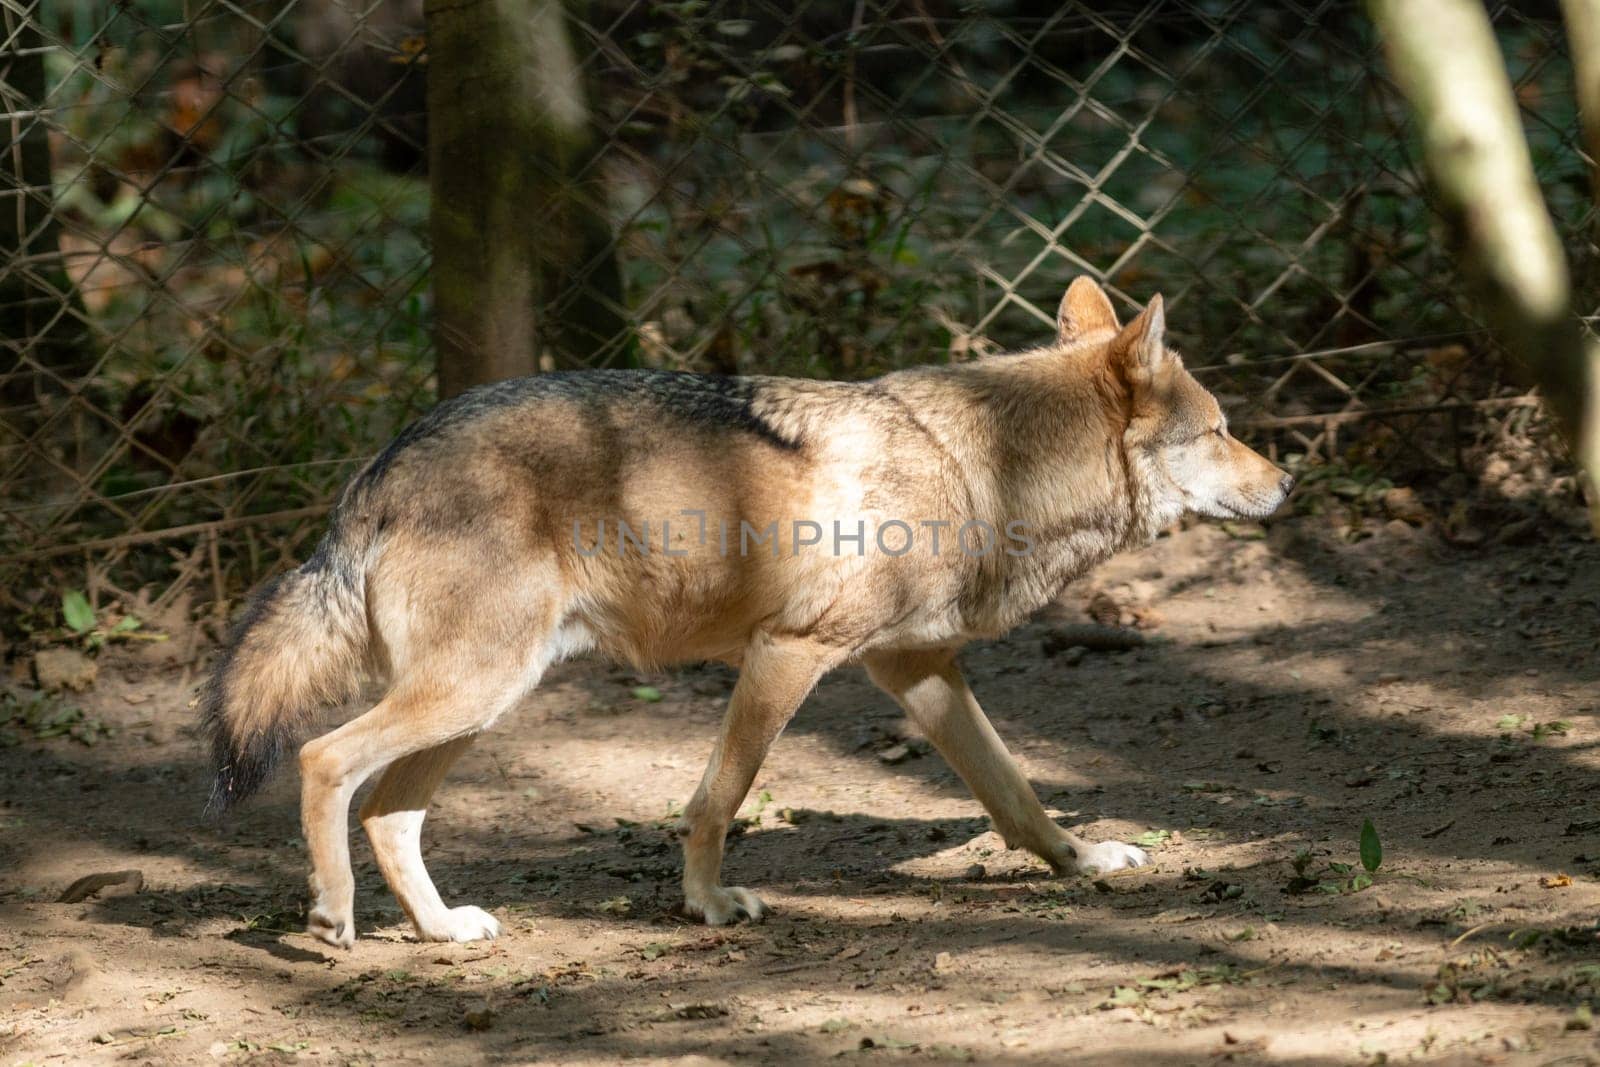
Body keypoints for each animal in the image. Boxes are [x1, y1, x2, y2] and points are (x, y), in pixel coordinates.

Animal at [203, 279, 1299, 947]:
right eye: (1221, 430)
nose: (1288, 481)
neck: (982, 465)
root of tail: (382, 464)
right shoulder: (789, 653)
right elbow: (716, 798)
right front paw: (705, 904)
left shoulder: (914, 668)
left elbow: (1017, 796)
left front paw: (1088, 862)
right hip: (473, 690)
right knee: (325, 760)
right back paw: (332, 918)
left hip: (485, 700)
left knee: (389, 810)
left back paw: (441, 931)